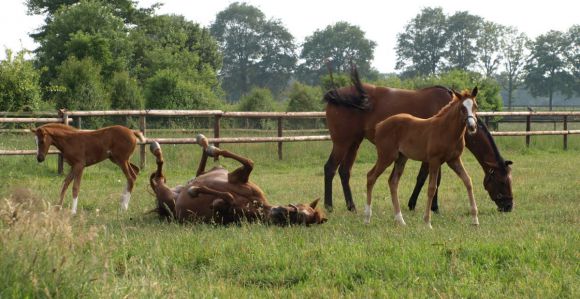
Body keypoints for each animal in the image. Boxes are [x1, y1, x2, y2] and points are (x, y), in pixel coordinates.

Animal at [147, 135, 328, 226]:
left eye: (301, 221)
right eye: (300, 208)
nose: (281, 212)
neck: (256, 205)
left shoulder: (221, 210)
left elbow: (226, 197)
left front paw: (195, 190)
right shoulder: (236, 177)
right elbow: (249, 162)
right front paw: (212, 148)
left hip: (166, 196)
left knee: (159, 176)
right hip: (213, 171)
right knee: (199, 169)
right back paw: (202, 142)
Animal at [368, 88, 480, 229]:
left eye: (475, 106)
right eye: (462, 108)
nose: (472, 127)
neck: (446, 131)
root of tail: (380, 125)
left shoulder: (454, 160)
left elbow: (468, 181)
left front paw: (475, 219)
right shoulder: (434, 160)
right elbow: (432, 188)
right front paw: (427, 222)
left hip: (401, 158)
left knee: (393, 182)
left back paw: (401, 220)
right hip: (386, 156)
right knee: (371, 177)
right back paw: (367, 218)